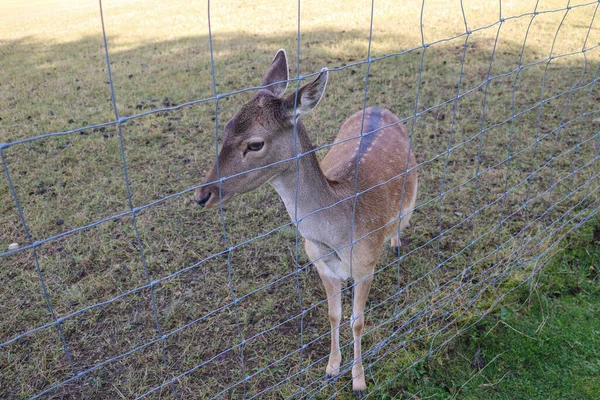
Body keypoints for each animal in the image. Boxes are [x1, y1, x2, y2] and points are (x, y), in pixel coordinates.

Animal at [196, 50, 418, 396]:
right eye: (225, 130)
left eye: (255, 144)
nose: (202, 195)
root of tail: (377, 107)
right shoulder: (320, 263)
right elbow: (333, 315)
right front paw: (330, 370)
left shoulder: (366, 263)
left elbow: (357, 321)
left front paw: (358, 381)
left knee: (401, 222)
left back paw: (395, 243)